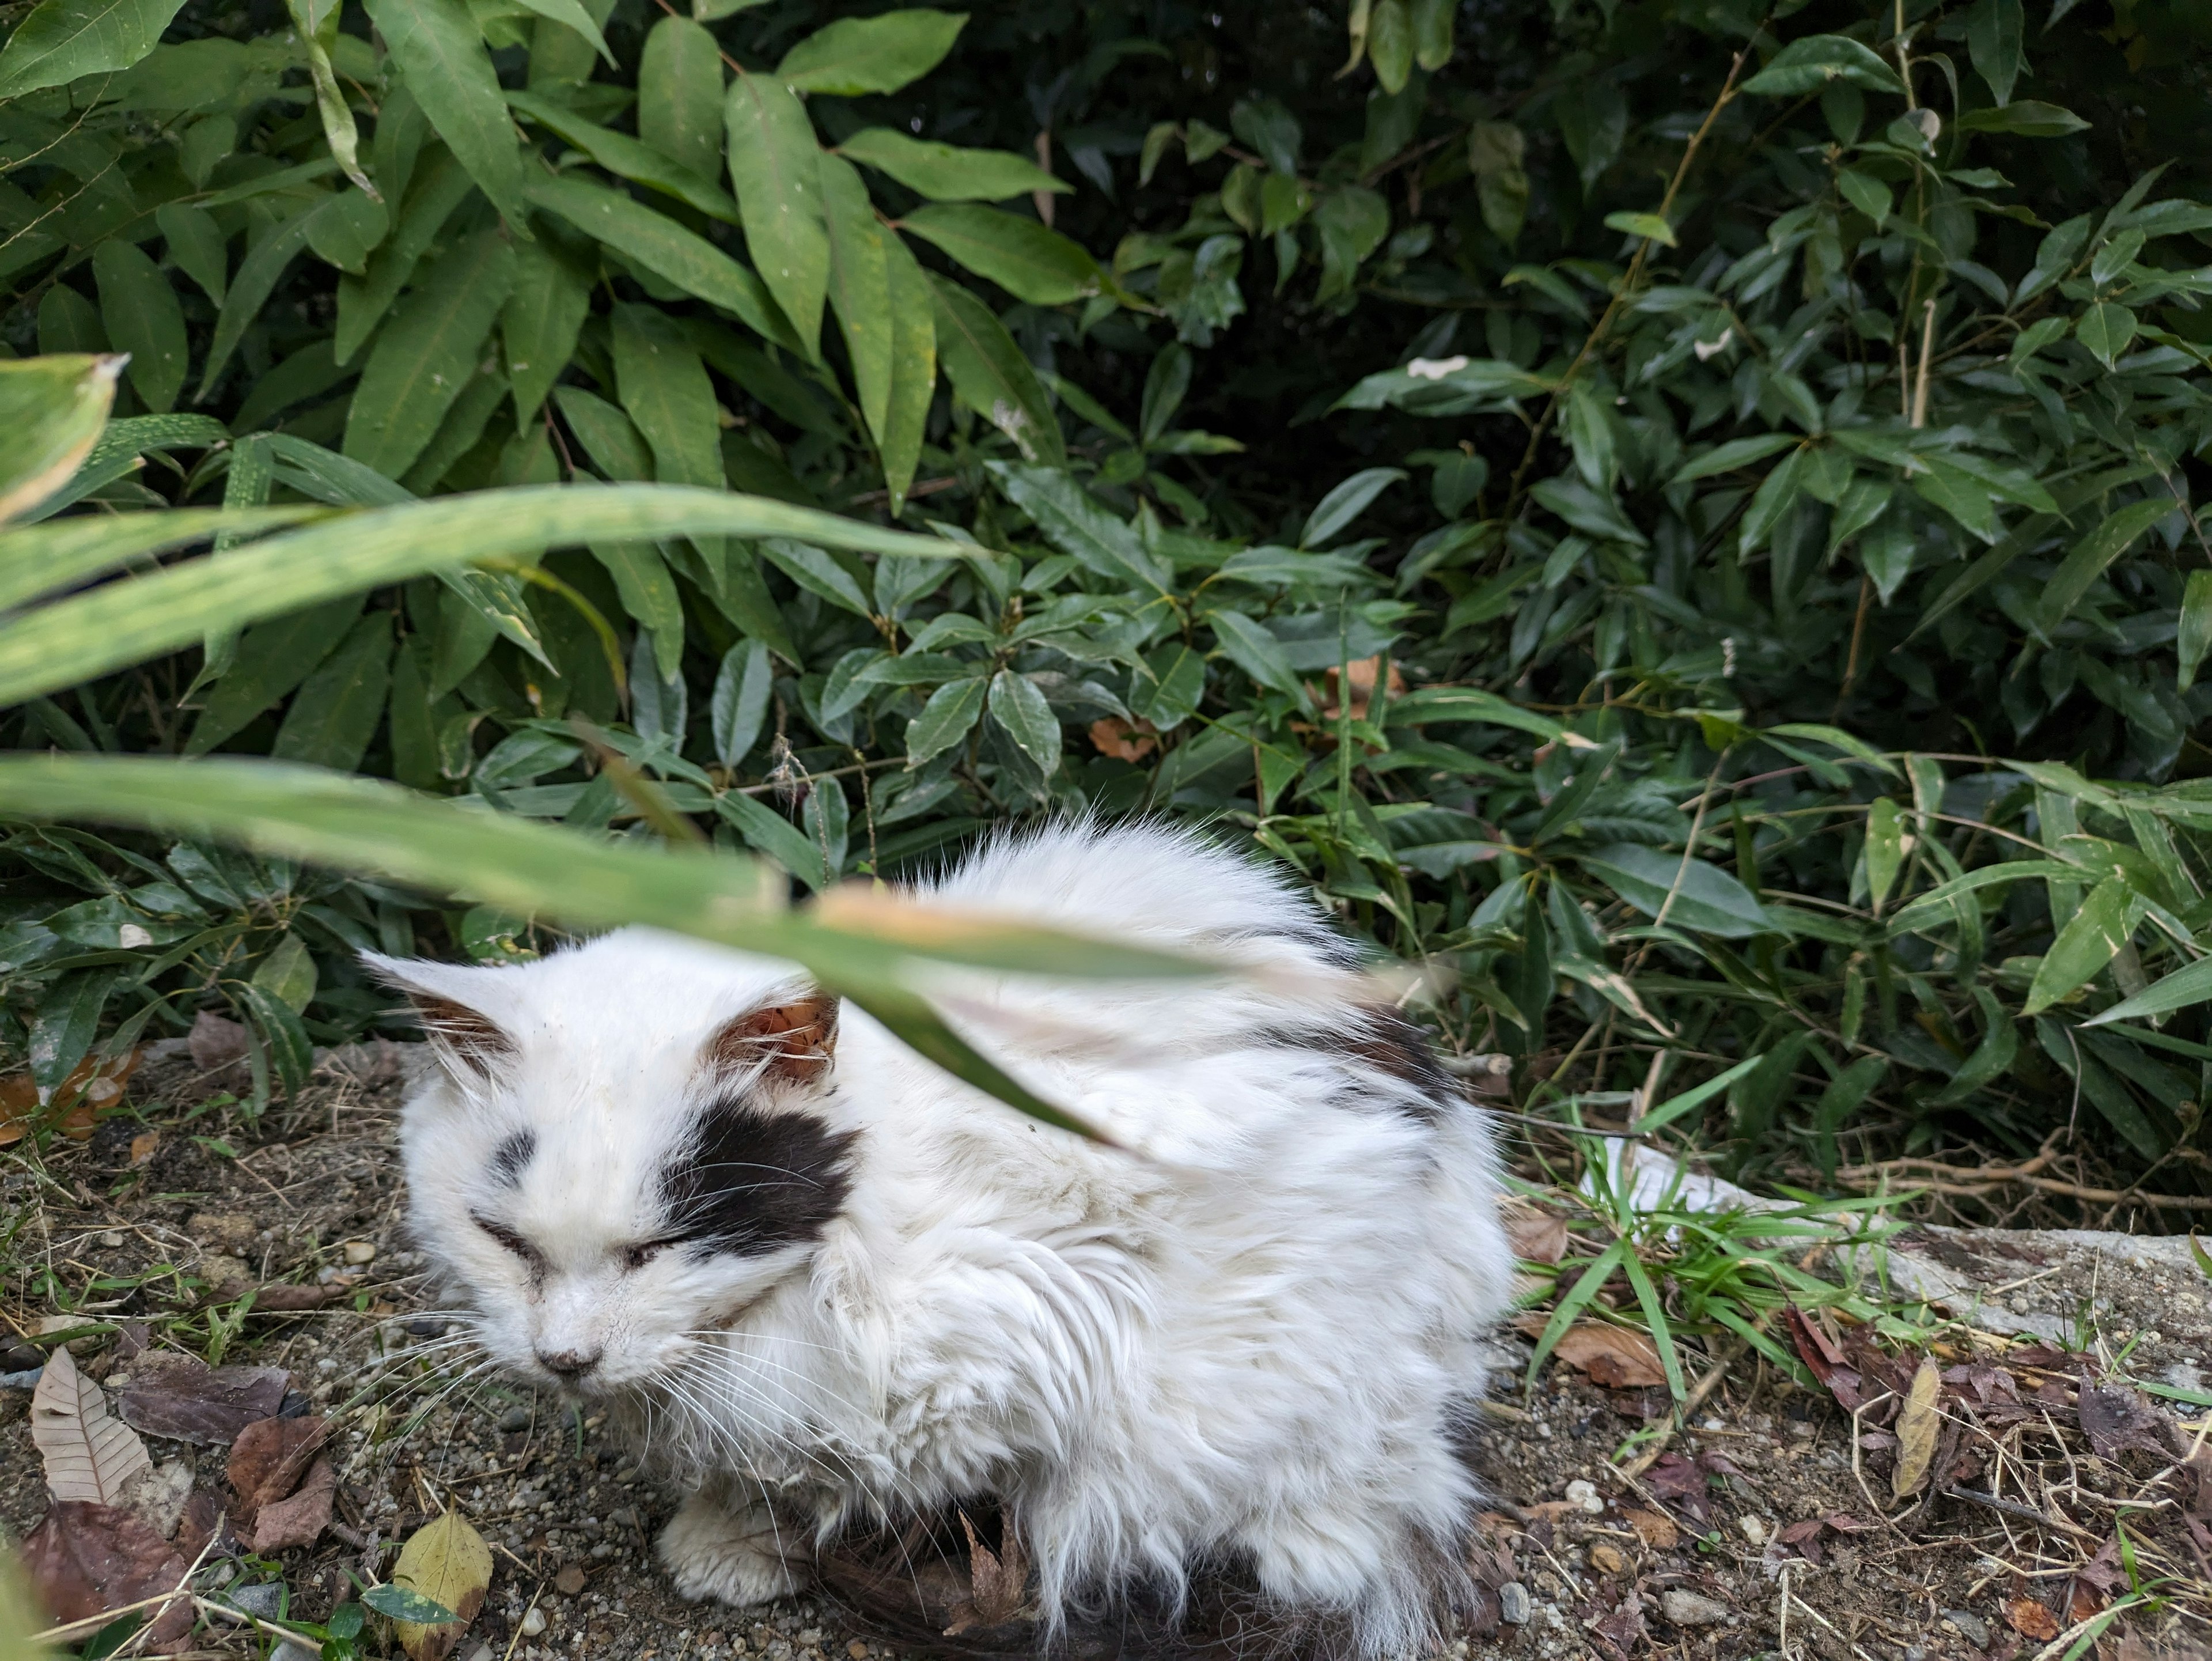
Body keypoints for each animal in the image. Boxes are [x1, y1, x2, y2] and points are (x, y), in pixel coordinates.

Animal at [380, 827, 1521, 1654]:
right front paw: (724, 1523)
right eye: (503, 1239)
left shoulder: (1031, 1334)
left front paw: (751, 1543)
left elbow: (823, 1477)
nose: (565, 1356)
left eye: (659, 1246)